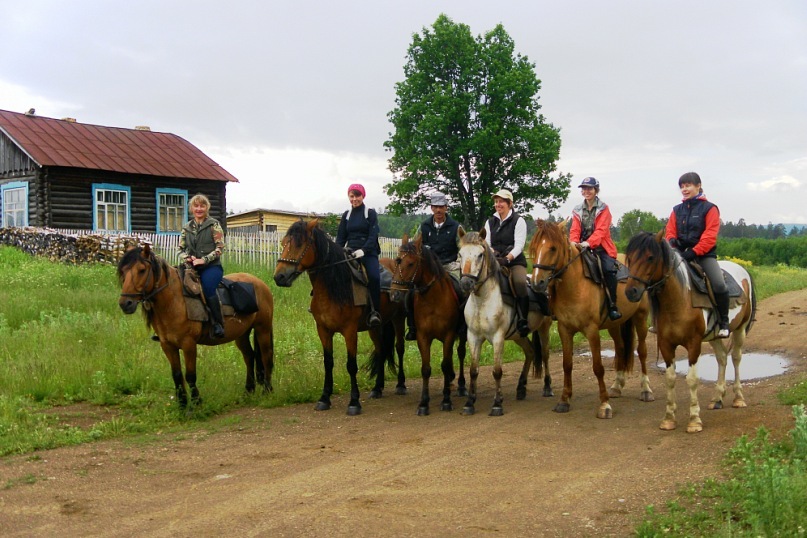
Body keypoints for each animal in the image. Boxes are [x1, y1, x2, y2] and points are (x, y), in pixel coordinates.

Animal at [117, 244, 274, 406]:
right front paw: (182, 403)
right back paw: (248, 390)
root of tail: (261, 284)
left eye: (142, 270)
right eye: (123, 271)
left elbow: (190, 375)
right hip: (242, 334)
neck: (174, 301)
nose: (125, 304)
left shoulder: (189, 344)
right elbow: (177, 375)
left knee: (266, 356)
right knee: (249, 356)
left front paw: (196, 403)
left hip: (263, 329)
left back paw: (267, 390)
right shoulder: (167, 346)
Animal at [274, 218, 408, 414]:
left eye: (299, 244)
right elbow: (328, 362)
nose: (279, 277)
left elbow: (351, 365)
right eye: (284, 243)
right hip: (376, 327)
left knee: (399, 348)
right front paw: (324, 398)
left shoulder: (349, 331)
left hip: (398, 319)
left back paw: (400, 385)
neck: (335, 287)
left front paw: (354, 402)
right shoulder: (323, 330)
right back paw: (377, 388)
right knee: (381, 349)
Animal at [386, 232, 468, 412]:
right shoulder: (423, 337)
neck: (433, 300)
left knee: (460, 353)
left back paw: (461, 385)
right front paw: (424, 403)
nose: (394, 294)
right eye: (397, 260)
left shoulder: (449, 335)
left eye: (411, 263)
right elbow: (426, 369)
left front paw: (446, 400)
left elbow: (445, 365)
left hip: (462, 334)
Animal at [528, 218, 652, 418]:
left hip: (640, 317)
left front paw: (604, 405)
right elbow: (567, 364)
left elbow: (598, 367)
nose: (536, 283)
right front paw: (564, 400)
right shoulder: (564, 329)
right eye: (535, 247)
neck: (575, 285)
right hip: (614, 324)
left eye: (553, 248)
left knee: (641, 351)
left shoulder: (592, 330)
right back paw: (616, 387)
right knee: (621, 348)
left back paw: (646, 390)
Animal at [624, 229, 756, 432]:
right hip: (714, 336)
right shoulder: (666, 344)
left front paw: (694, 420)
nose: (631, 292)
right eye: (629, 258)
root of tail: (743, 270)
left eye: (650, 257)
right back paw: (717, 399)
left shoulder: (694, 344)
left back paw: (738, 398)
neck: (679, 300)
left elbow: (692, 379)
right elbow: (670, 378)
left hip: (740, 329)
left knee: (736, 358)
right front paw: (668, 418)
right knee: (722, 358)